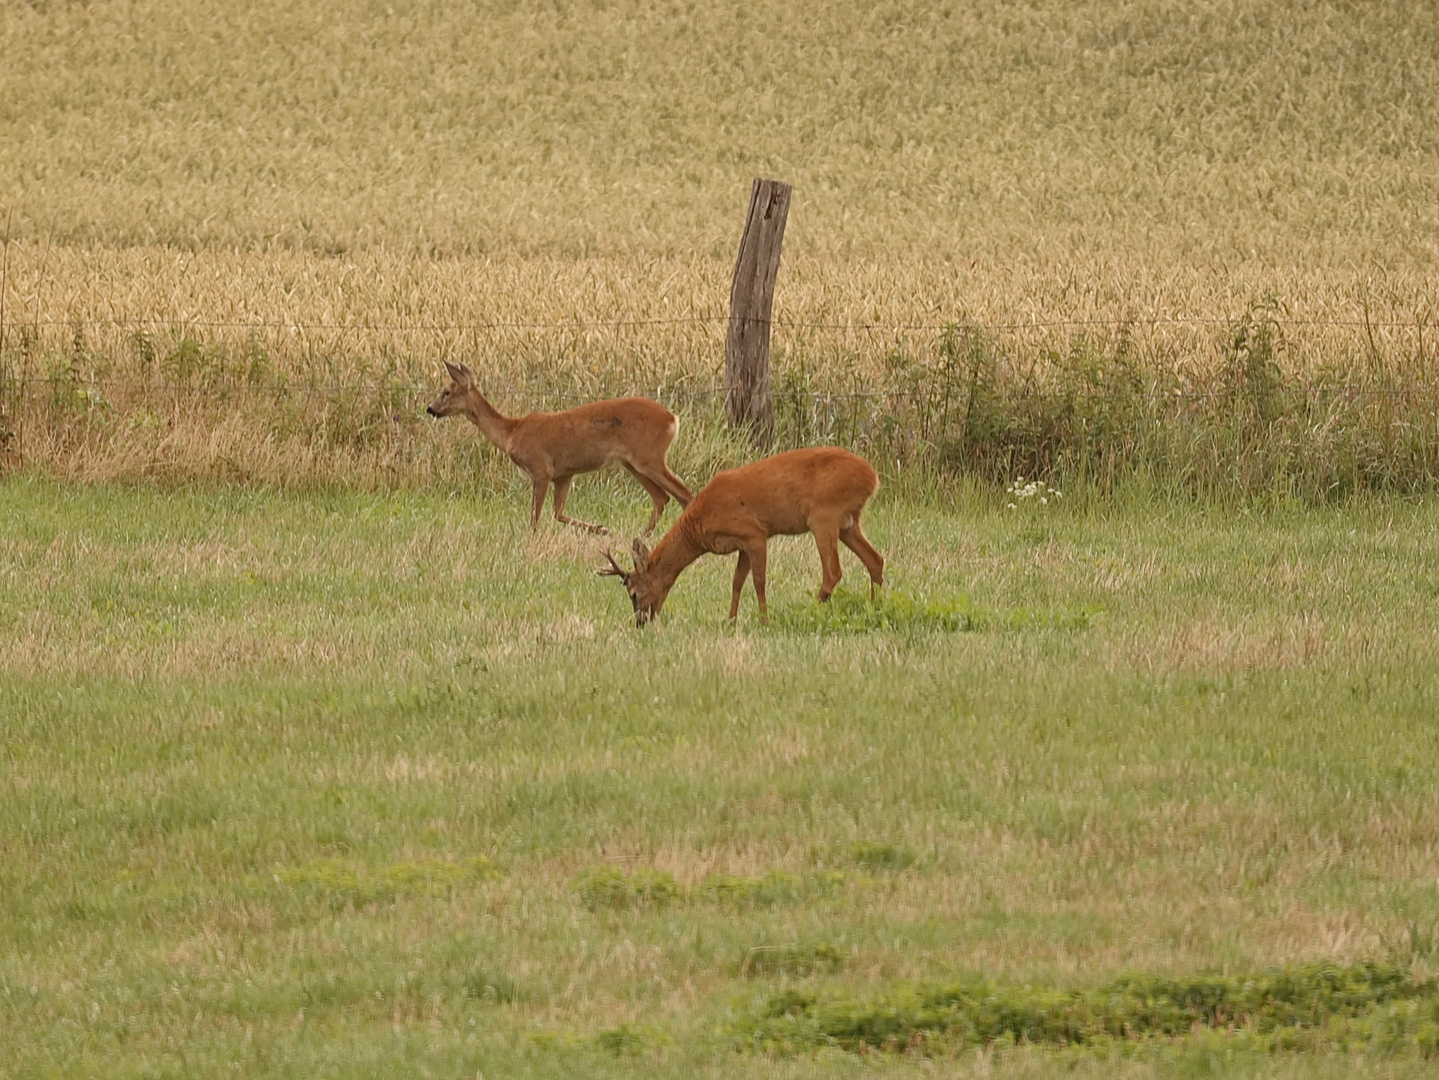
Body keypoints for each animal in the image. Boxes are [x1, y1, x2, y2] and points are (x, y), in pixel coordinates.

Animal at [425, 360, 690, 534]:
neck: (512, 432)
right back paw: (642, 536)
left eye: (446, 392)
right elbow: (557, 512)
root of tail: (673, 419)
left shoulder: (541, 469)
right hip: (633, 463)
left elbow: (535, 516)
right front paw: (601, 528)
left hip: (649, 456)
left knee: (683, 493)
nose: (430, 408)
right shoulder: (564, 474)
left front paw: (530, 540)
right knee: (662, 497)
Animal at [598, 445, 886, 624]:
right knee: (875, 560)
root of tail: (873, 477)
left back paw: (810, 609)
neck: (700, 522)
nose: (640, 622)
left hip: (824, 515)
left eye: (634, 594)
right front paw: (731, 620)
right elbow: (736, 581)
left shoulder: (755, 533)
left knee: (833, 571)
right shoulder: (741, 545)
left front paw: (764, 621)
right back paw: (874, 608)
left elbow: (759, 581)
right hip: (848, 522)